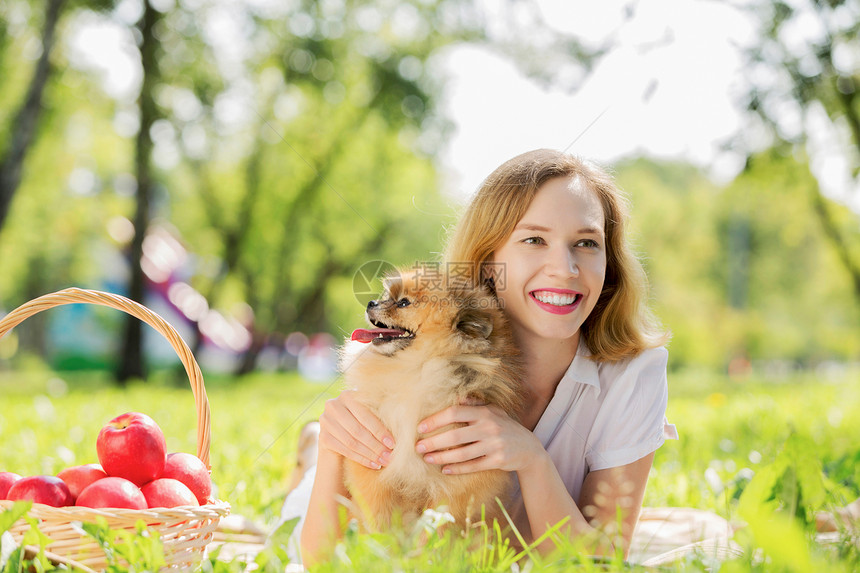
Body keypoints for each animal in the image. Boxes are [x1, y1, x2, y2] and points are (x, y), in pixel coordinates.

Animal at [340, 266, 520, 528]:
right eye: (387, 296)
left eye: (403, 302)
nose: (371, 302)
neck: (417, 373)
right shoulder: (375, 463)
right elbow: (377, 514)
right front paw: (377, 539)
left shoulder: (457, 480)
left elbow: (437, 525)